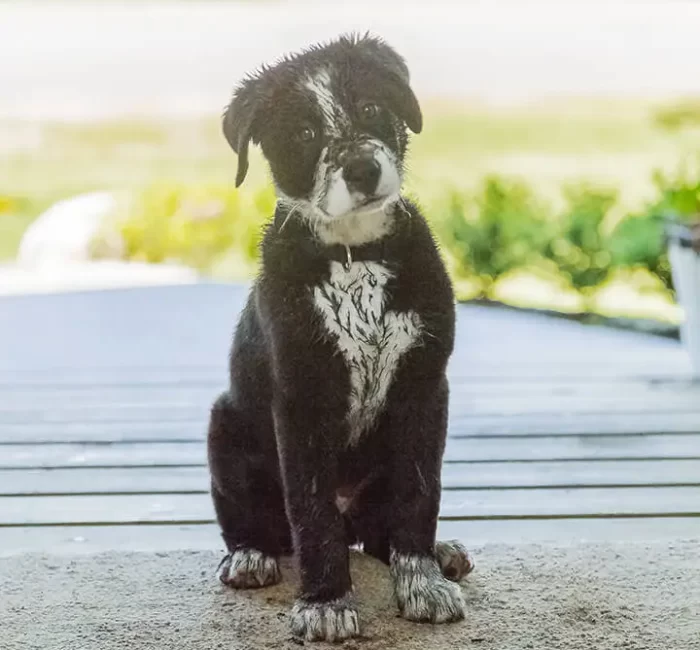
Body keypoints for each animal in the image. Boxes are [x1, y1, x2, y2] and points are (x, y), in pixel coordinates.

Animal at [205, 34, 474, 636]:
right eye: (304, 134)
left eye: (372, 107)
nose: (362, 170)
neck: (354, 256)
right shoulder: (301, 399)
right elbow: (311, 512)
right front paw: (326, 603)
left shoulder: (425, 387)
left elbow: (419, 493)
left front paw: (421, 583)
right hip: (224, 423)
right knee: (259, 526)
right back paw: (250, 556)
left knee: (379, 532)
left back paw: (439, 553)